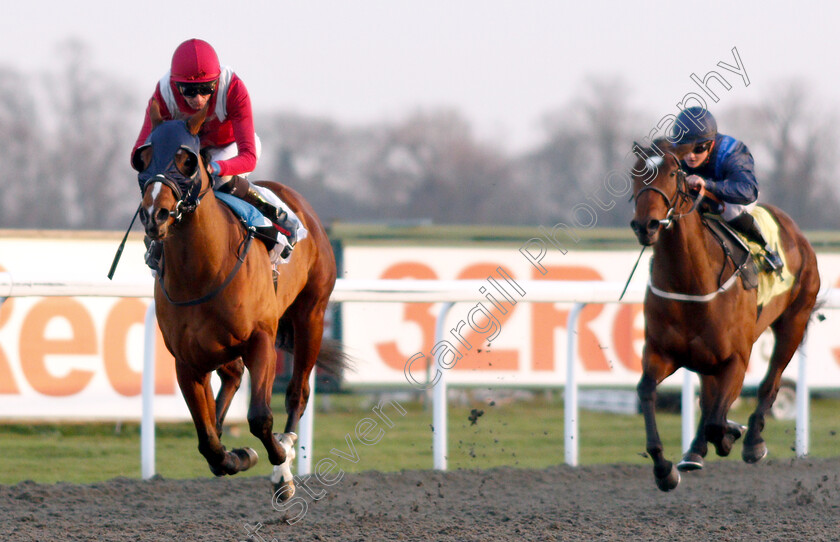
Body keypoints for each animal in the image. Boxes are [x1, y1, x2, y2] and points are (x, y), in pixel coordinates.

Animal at [133, 102, 346, 502]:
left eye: (187, 160)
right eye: (144, 157)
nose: (155, 214)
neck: (203, 271)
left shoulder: (260, 338)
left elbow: (260, 417)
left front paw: (280, 465)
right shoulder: (186, 360)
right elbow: (208, 442)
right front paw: (236, 455)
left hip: (311, 314)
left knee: (297, 392)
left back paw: (287, 450)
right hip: (219, 347)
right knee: (230, 378)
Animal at [632, 139, 820, 492]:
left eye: (673, 172)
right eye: (635, 173)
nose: (644, 225)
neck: (690, 282)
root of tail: (794, 230)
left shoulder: (736, 359)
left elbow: (718, 421)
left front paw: (734, 433)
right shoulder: (661, 353)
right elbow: (647, 392)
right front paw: (664, 469)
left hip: (793, 321)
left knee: (770, 383)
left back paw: (752, 441)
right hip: (707, 358)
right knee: (709, 400)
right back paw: (694, 452)